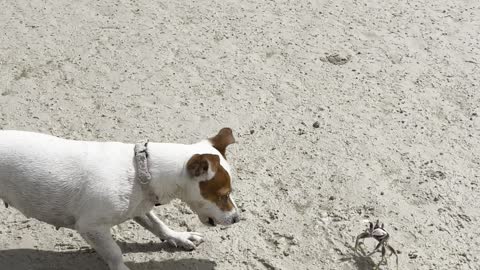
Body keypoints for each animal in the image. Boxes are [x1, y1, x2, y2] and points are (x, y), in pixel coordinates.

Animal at [0, 128, 239, 270]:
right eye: (223, 194)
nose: (237, 218)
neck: (142, 169)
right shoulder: (90, 227)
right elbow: (114, 253)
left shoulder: (139, 207)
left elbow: (157, 225)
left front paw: (178, 236)